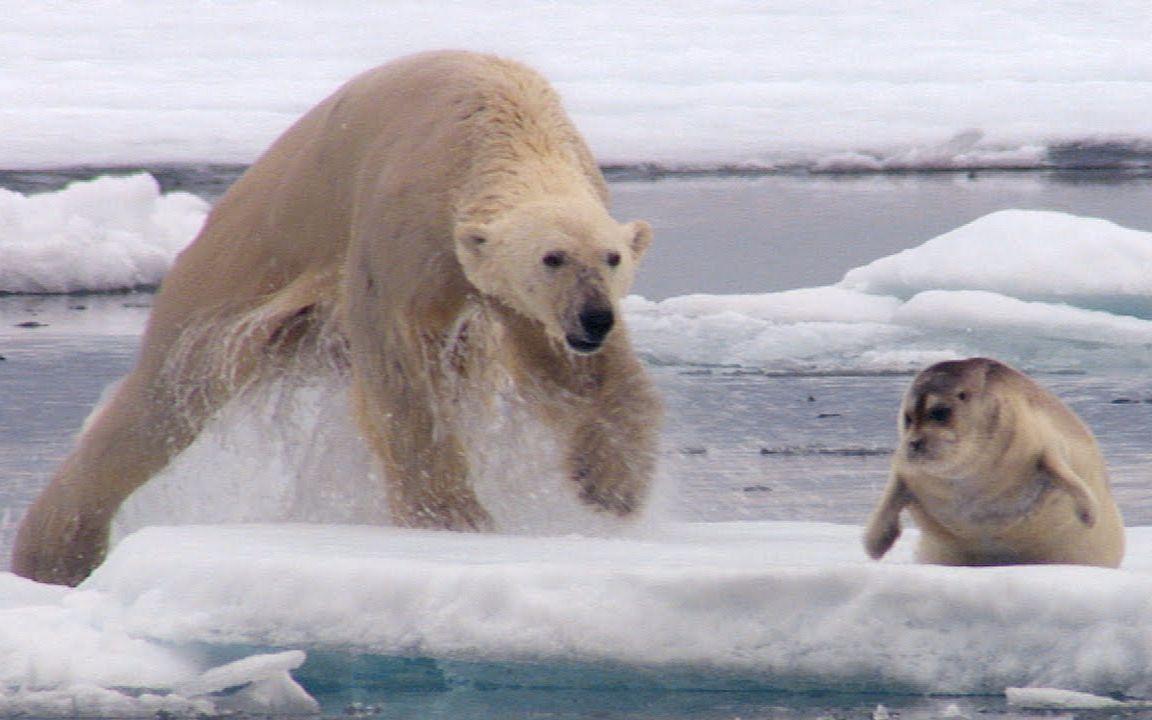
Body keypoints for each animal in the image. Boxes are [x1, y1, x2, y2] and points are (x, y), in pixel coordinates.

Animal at [13, 51, 663, 589]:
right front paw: (456, 519)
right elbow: (401, 369)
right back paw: (54, 551)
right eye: (552, 257)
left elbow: (574, 372)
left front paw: (611, 485)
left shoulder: (512, 287)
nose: (595, 317)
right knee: (165, 398)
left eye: (612, 257)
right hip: (242, 263)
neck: (498, 121)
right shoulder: (404, 220)